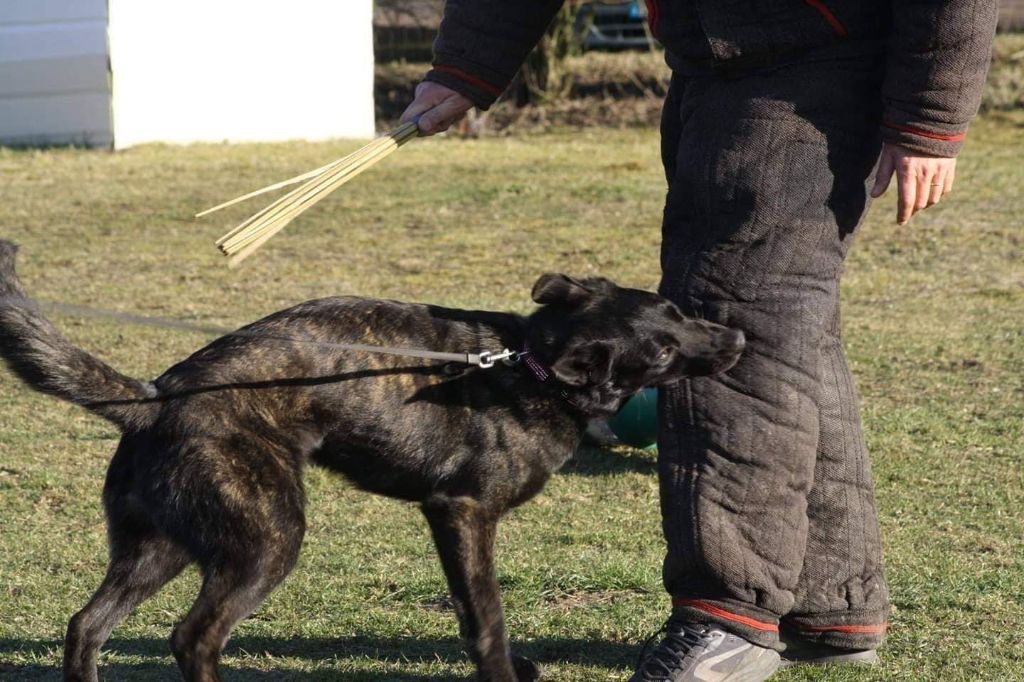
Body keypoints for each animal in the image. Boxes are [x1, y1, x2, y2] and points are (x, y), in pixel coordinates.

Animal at [0, 240, 741, 679]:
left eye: (676, 311)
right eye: (663, 351)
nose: (735, 337)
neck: (533, 362)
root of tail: (155, 397)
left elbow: (475, 614)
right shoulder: (461, 513)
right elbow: (487, 615)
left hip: (161, 547)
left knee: (86, 625)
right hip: (268, 539)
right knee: (192, 636)